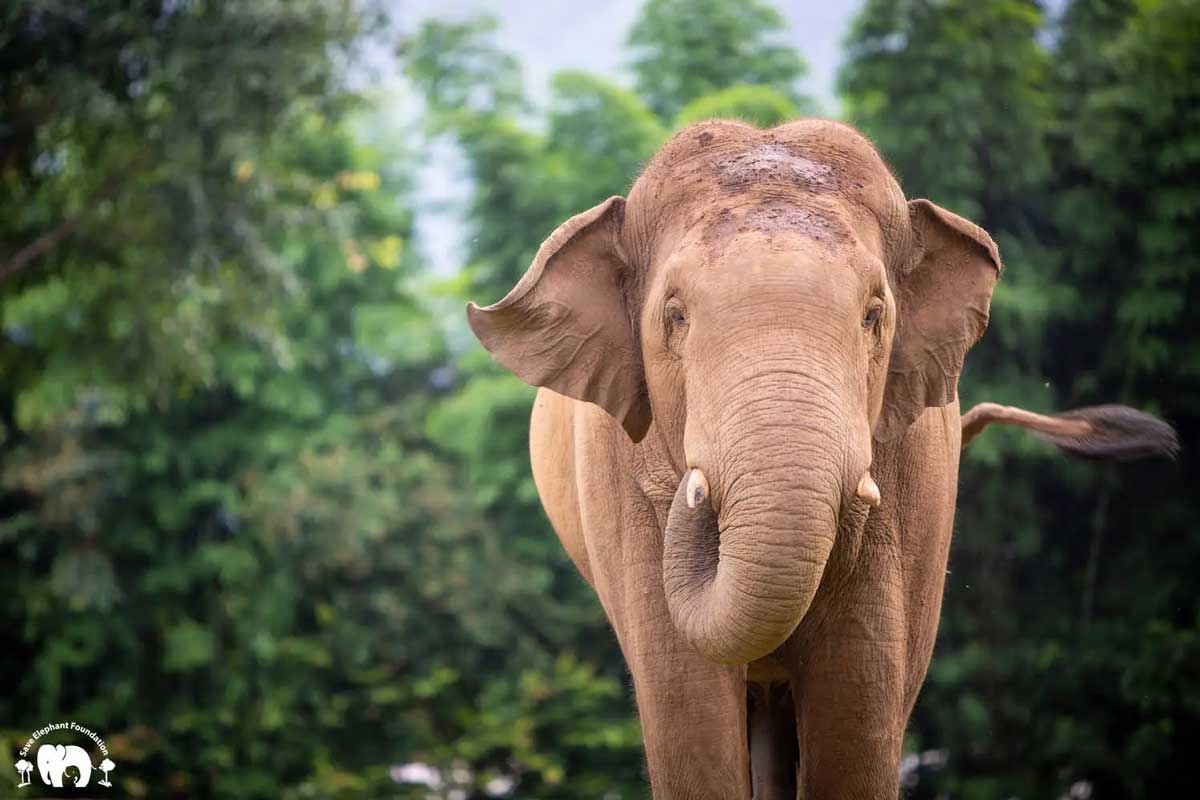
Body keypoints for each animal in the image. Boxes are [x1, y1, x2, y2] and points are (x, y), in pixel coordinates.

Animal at [463, 120, 1176, 800]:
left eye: (873, 315)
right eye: (674, 316)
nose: (697, 491)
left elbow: (859, 687)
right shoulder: (615, 474)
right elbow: (686, 704)